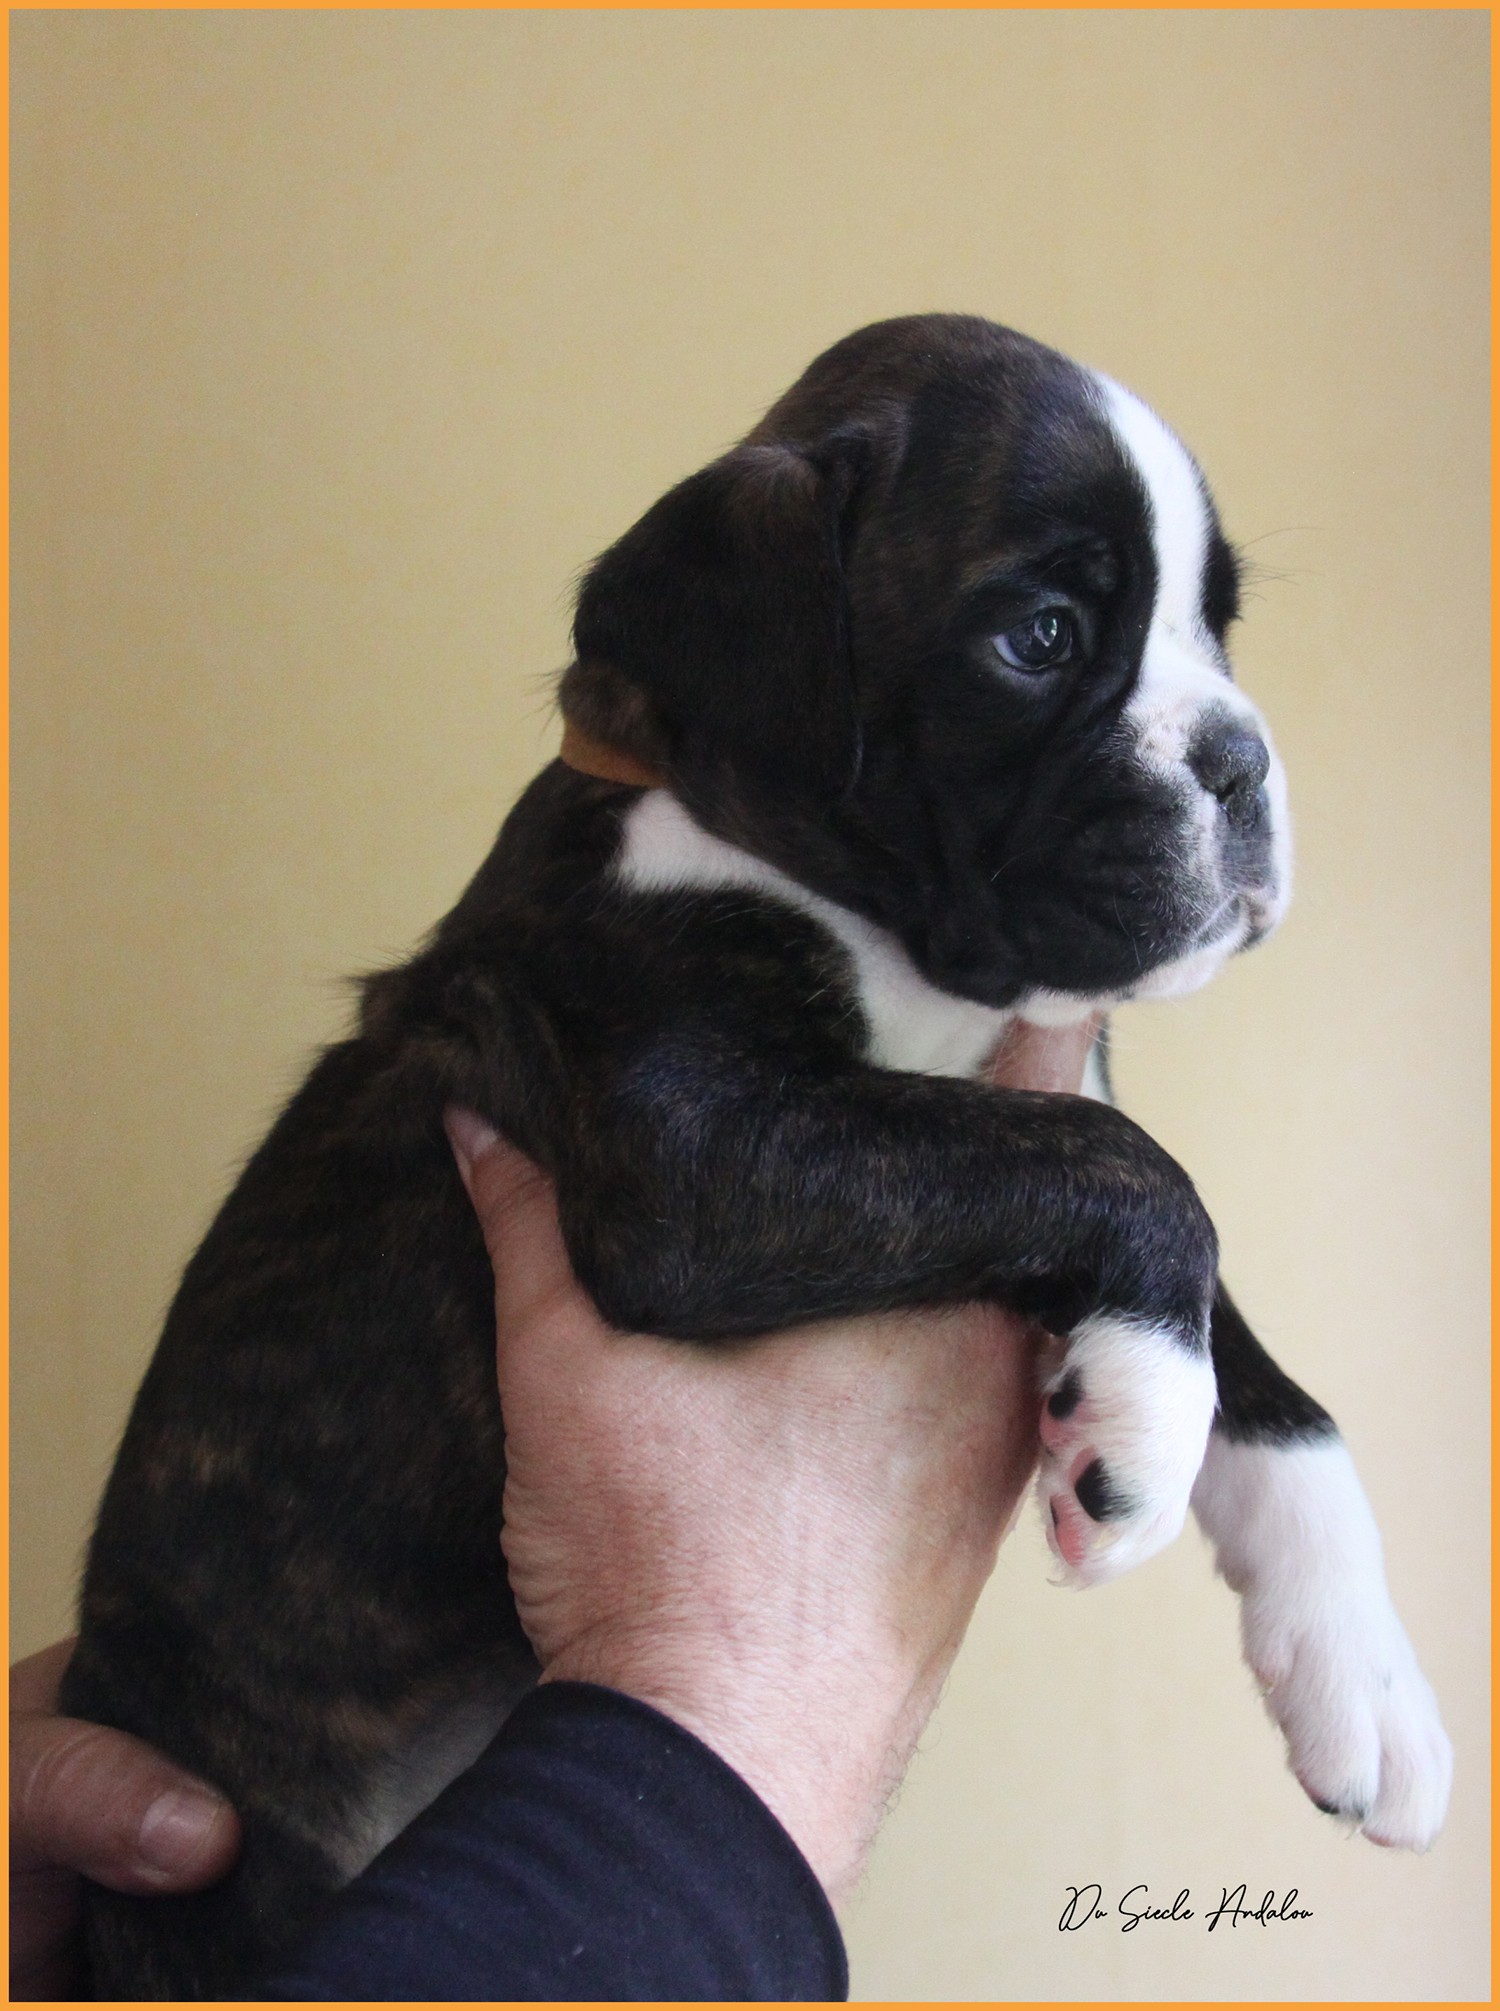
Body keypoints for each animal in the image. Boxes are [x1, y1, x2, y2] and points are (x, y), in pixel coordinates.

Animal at [63, 314, 1452, 1998]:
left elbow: (1248, 1342)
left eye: (1219, 627)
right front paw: (1141, 1416)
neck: (904, 947)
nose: (1242, 761)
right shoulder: (703, 1152)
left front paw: (1362, 1674)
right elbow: (1131, 1167)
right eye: (1042, 636)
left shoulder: (968, 1110)